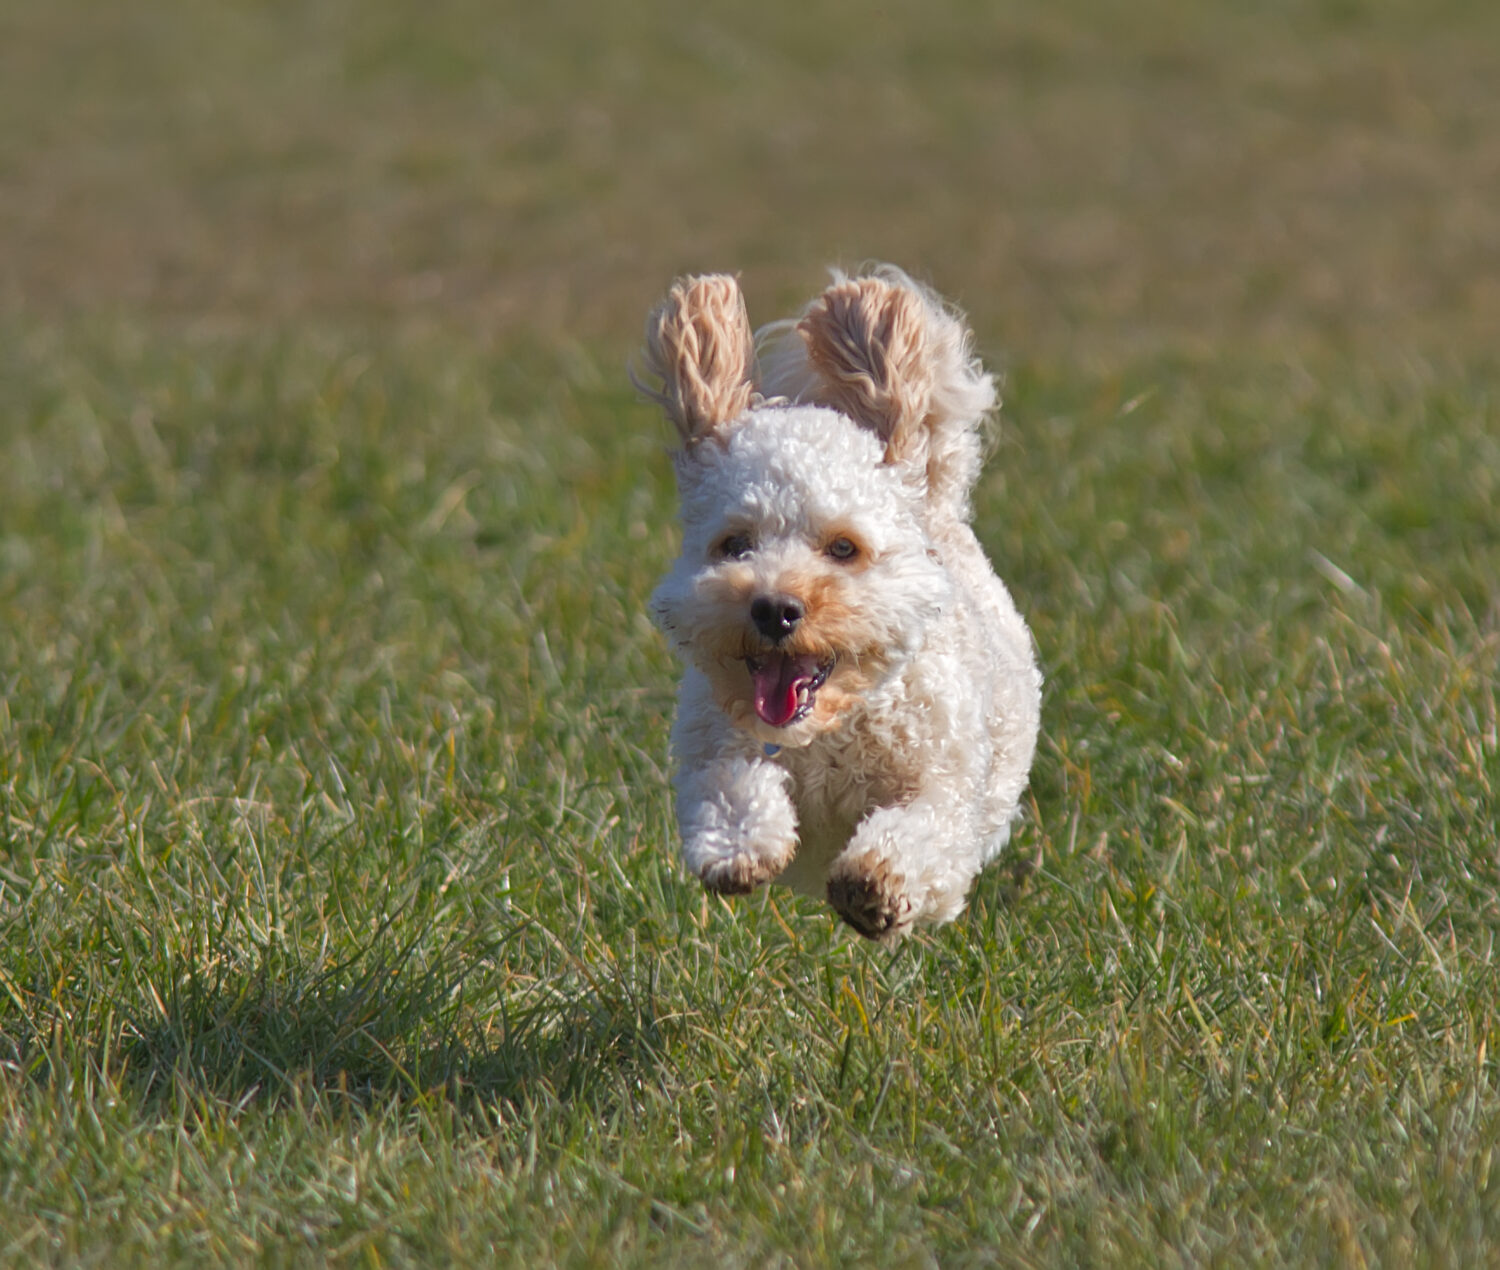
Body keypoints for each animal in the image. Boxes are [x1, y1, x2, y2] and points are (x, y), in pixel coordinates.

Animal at [636, 265, 1044, 941]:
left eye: (844, 548)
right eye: (735, 544)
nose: (775, 608)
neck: (828, 729)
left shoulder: (946, 791)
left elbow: (921, 832)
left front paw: (874, 882)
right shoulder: (712, 747)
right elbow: (731, 788)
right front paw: (740, 849)